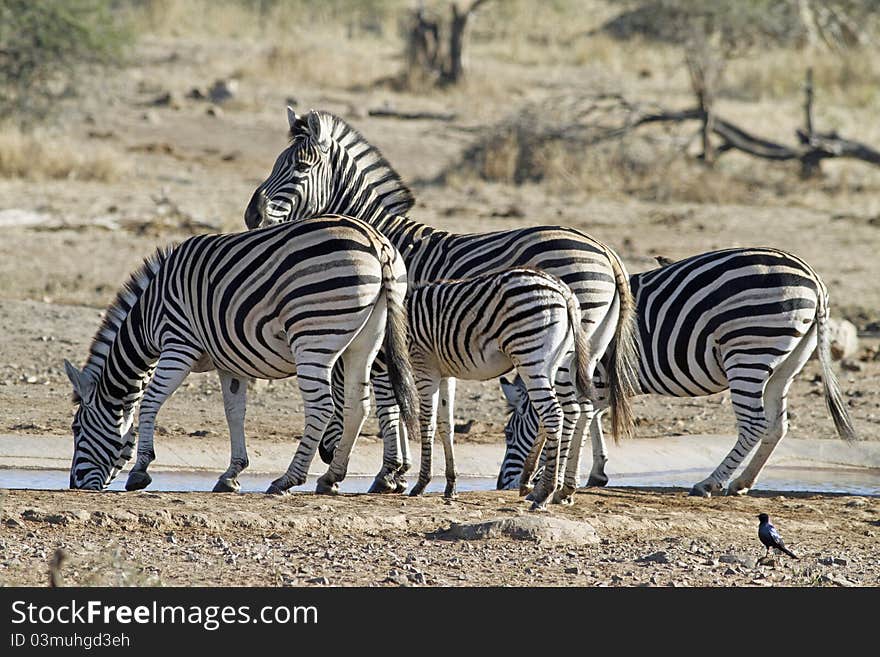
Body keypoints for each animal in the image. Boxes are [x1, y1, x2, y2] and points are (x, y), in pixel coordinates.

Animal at [63, 215, 418, 492]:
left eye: (77, 429)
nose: (74, 486)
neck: (149, 312)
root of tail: (376, 243)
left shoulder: (179, 343)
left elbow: (150, 402)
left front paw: (140, 470)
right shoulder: (231, 363)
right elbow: (234, 413)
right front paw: (230, 474)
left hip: (312, 336)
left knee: (322, 407)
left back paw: (287, 480)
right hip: (366, 341)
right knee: (357, 405)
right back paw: (330, 478)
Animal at [402, 266, 596, 508]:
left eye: (509, 433)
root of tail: (563, 290)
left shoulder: (424, 365)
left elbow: (427, 422)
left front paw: (421, 484)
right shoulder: (446, 374)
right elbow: (446, 424)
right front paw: (450, 485)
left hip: (530, 354)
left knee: (553, 413)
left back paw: (544, 493)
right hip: (560, 361)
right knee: (566, 411)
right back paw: (534, 483)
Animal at [498, 246, 856, 498]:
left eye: (507, 434)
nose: (504, 484)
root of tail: (813, 279)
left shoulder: (591, 375)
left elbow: (583, 418)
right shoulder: (599, 382)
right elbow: (594, 418)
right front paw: (595, 472)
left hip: (748, 349)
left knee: (755, 424)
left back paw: (710, 483)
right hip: (787, 363)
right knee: (778, 425)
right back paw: (742, 481)